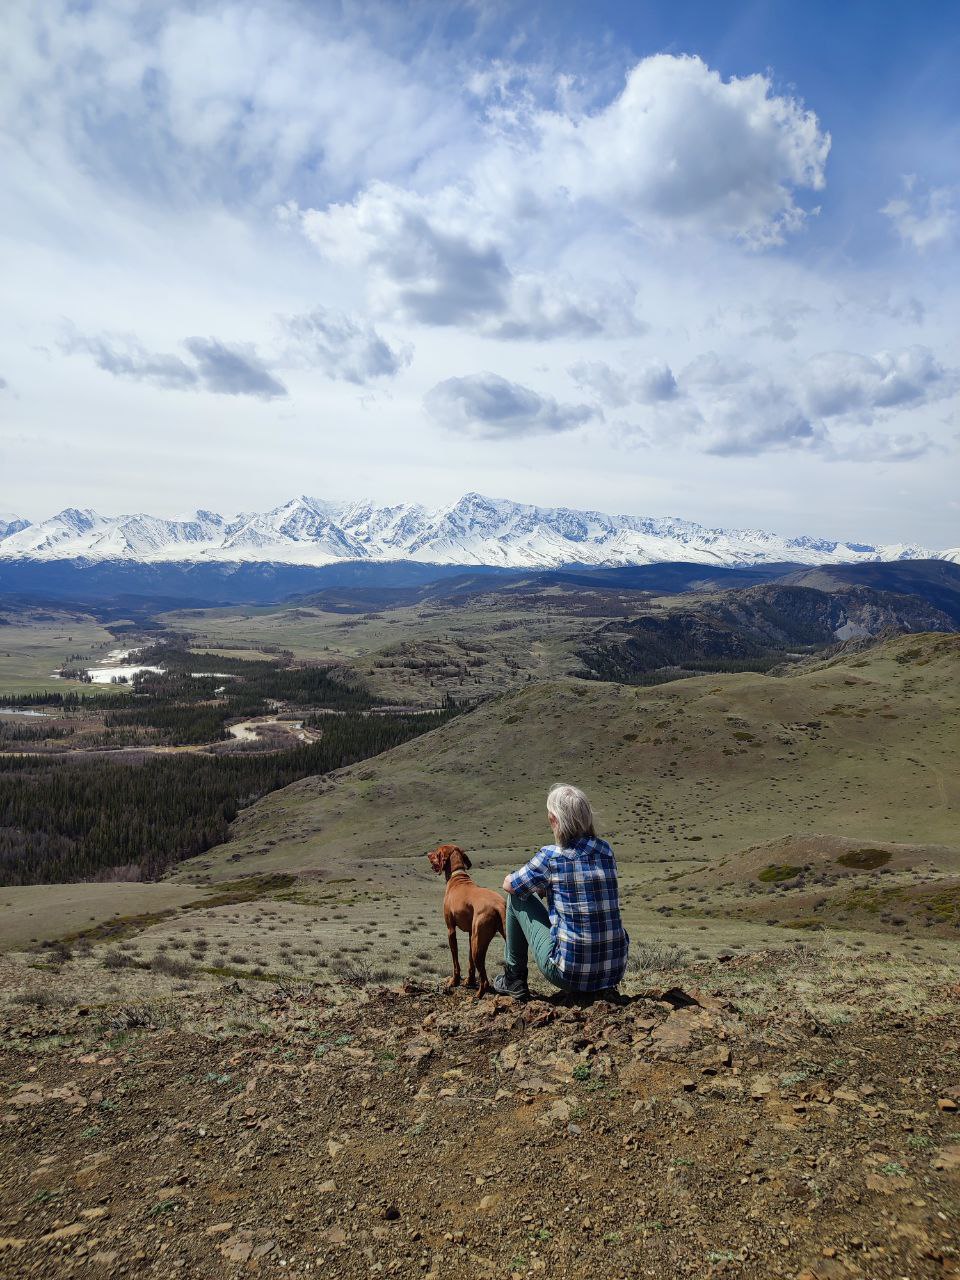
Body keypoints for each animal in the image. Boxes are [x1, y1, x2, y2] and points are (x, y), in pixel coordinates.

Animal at [427, 839, 506, 998]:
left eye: (437, 852)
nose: (427, 854)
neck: (457, 876)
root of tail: (498, 904)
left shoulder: (451, 930)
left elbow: (455, 960)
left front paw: (454, 981)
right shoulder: (470, 933)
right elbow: (470, 962)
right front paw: (469, 981)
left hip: (478, 943)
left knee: (484, 978)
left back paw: (478, 995)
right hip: (483, 939)